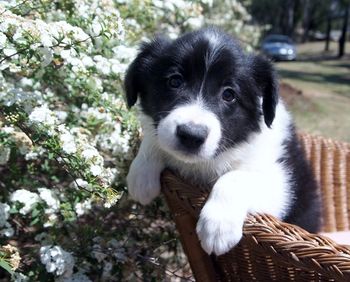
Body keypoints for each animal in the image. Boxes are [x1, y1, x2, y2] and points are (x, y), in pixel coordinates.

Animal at [124, 28, 322, 256]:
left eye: (229, 94)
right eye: (174, 81)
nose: (191, 135)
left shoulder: (283, 186)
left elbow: (236, 176)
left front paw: (218, 225)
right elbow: (154, 138)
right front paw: (140, 176)